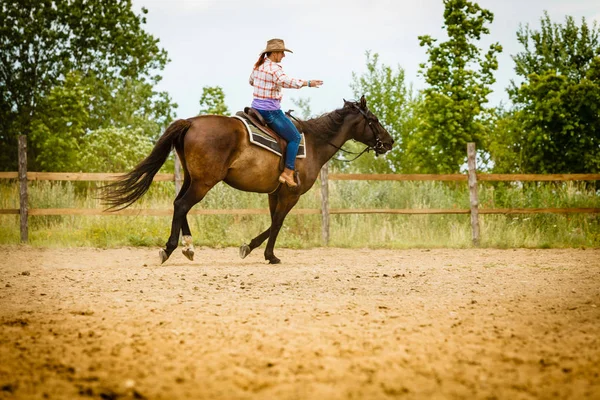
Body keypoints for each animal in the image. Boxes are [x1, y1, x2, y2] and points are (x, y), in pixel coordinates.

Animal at [103, 96, 394, 264]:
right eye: (374, 119)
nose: (389, 141)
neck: (313, 143)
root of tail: (191, 122)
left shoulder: (274, 193)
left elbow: (273, 221)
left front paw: (254, 249)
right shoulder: (290, 194)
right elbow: (278, 223)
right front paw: (267, 254)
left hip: (191, 178)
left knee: (179, 204)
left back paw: (189, 247)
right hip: (203, 182)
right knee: (182, 205)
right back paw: (171, 248)